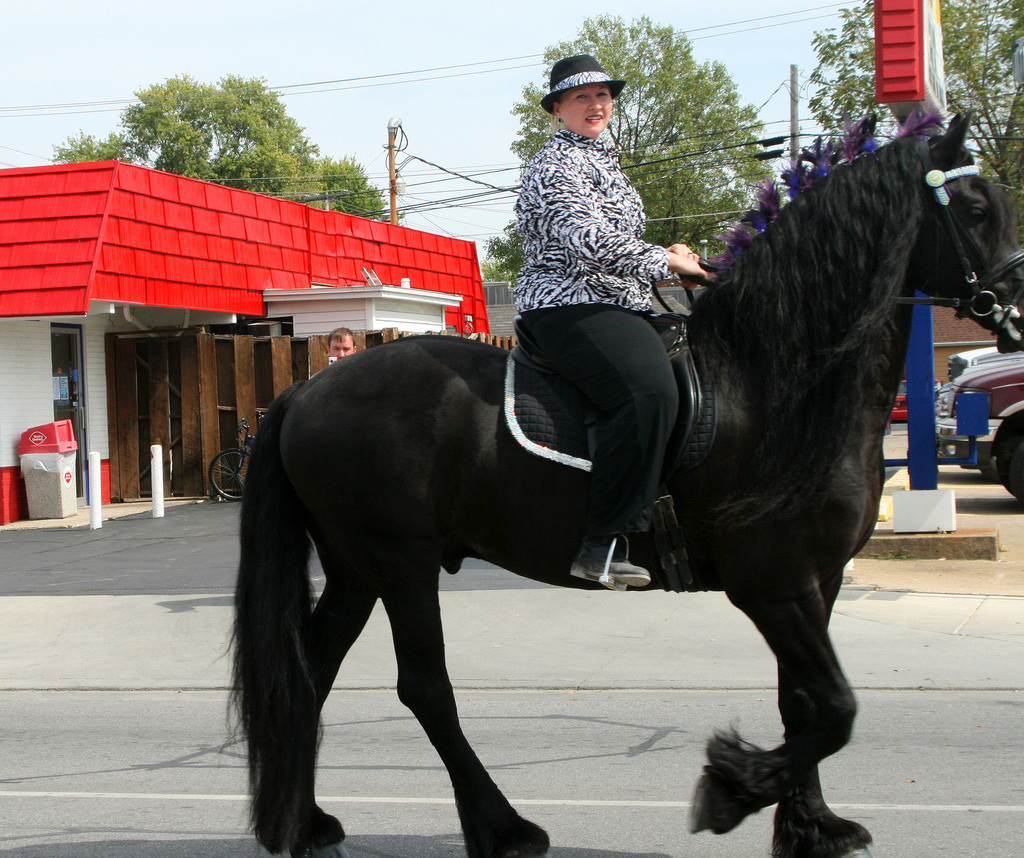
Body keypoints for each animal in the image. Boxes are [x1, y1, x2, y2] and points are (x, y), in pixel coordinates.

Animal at [232, 113, 1024, 858]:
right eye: (974, 209)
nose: (1018, 311)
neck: (771, 382)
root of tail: (306, 392)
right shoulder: (773, 583)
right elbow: (834, 708)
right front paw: (732, 790)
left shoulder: (817, 580)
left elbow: (803, 705)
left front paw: (810, 826)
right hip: (401, 564)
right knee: (424, 688)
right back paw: (503, 828)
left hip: (356, 568)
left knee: (311, 671)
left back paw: (305, 823)